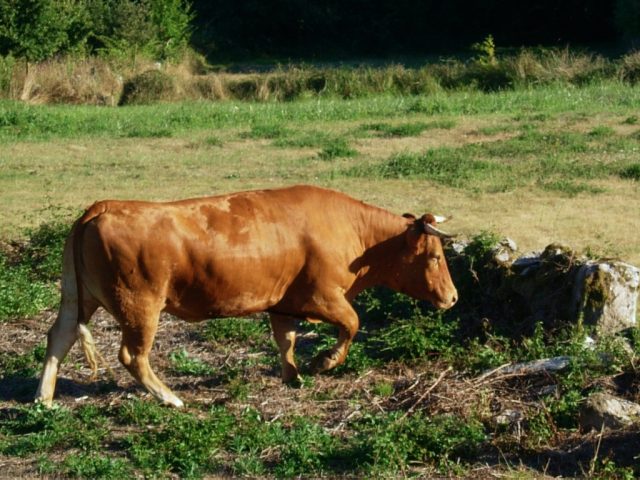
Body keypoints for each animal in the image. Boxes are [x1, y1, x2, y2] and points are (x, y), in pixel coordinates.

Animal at [36, 186, 456, 406]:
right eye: (435, 256)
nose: (452, 298)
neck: (355, 234)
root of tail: (101, 208)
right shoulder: (324, 297)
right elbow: (352, 323)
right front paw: (324, 362)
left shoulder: (284, 303)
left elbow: (286, 340)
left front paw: (293, 376)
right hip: (140, 306)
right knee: (132, 355)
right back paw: (169, 397)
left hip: (77, 297)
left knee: (60, 337)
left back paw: (44, 399)